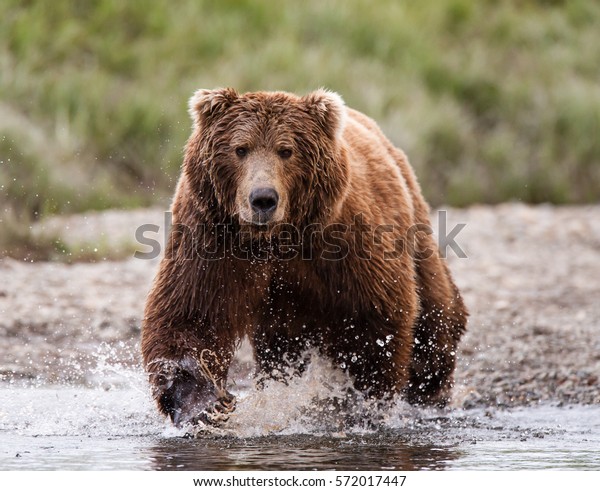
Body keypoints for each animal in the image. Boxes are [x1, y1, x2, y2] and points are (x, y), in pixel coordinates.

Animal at [142, 87, 468, 426]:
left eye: (286, 150)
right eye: (240, 148)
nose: (263, 199)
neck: (275, 239)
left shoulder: (344, 243)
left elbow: (375, 317)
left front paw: (363, 401)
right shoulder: (212, 235)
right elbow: (192, 312)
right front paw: (204, 403)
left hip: (413, 222)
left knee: (435, 314)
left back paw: (430, 390)